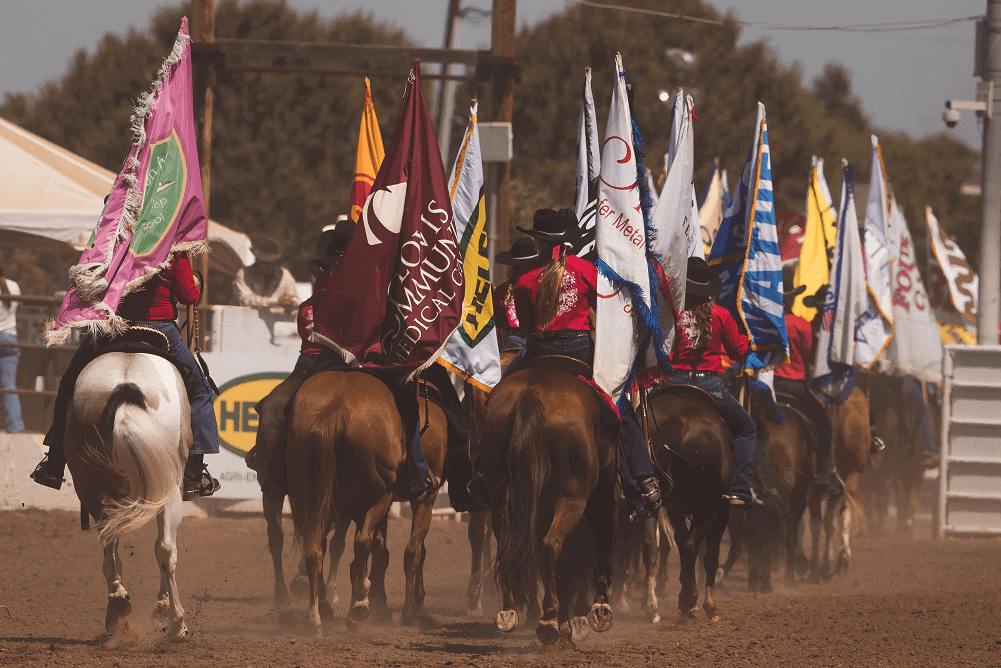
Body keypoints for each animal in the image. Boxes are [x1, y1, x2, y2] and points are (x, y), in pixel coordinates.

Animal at [286, 368, 450, 628]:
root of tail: (335, 407)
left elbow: (381, 549)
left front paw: (381, 603)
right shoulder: (424, 498)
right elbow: (412, 551)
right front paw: (407, 610)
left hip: (308, 498)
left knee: (314, 547)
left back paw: (317, 614)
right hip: (376, 499)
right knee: (362, 542)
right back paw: (359, 606)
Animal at [482, 362, 616, 648]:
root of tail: (530, 394)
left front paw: (566, 628)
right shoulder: (604, 495)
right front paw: (598, 610)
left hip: (502, 500)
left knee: (512, 547)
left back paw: (512, 612)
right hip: (572, 499)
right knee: (551, 544)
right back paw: (550, 620)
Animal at [644, 386, 732, 620]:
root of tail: (678, 421)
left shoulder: (677, 509)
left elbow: (680, 542)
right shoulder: (722, 509)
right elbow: (709, 555)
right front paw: (708, 605)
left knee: (651, 545)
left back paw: (652, 606)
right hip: (708, 508)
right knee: (693, 546)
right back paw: (690, 599)